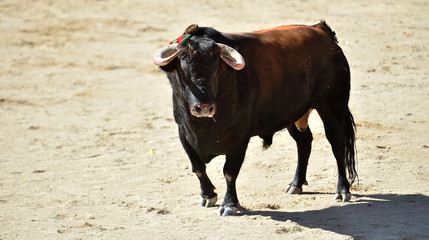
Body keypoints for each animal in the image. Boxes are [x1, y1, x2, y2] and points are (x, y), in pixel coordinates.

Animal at [152, 21, 356, 216]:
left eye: (215, 69)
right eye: (183, 70)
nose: (204, 107)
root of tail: (321, 31)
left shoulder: (239, 137)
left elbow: (229, 172)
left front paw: (229, 205)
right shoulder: (183, 132)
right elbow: (198, 167)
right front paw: (207, 196)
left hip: (332, 107)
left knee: (337, 144)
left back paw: (342, 190)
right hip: (294, 114)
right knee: (304, 141)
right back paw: (295, 184)